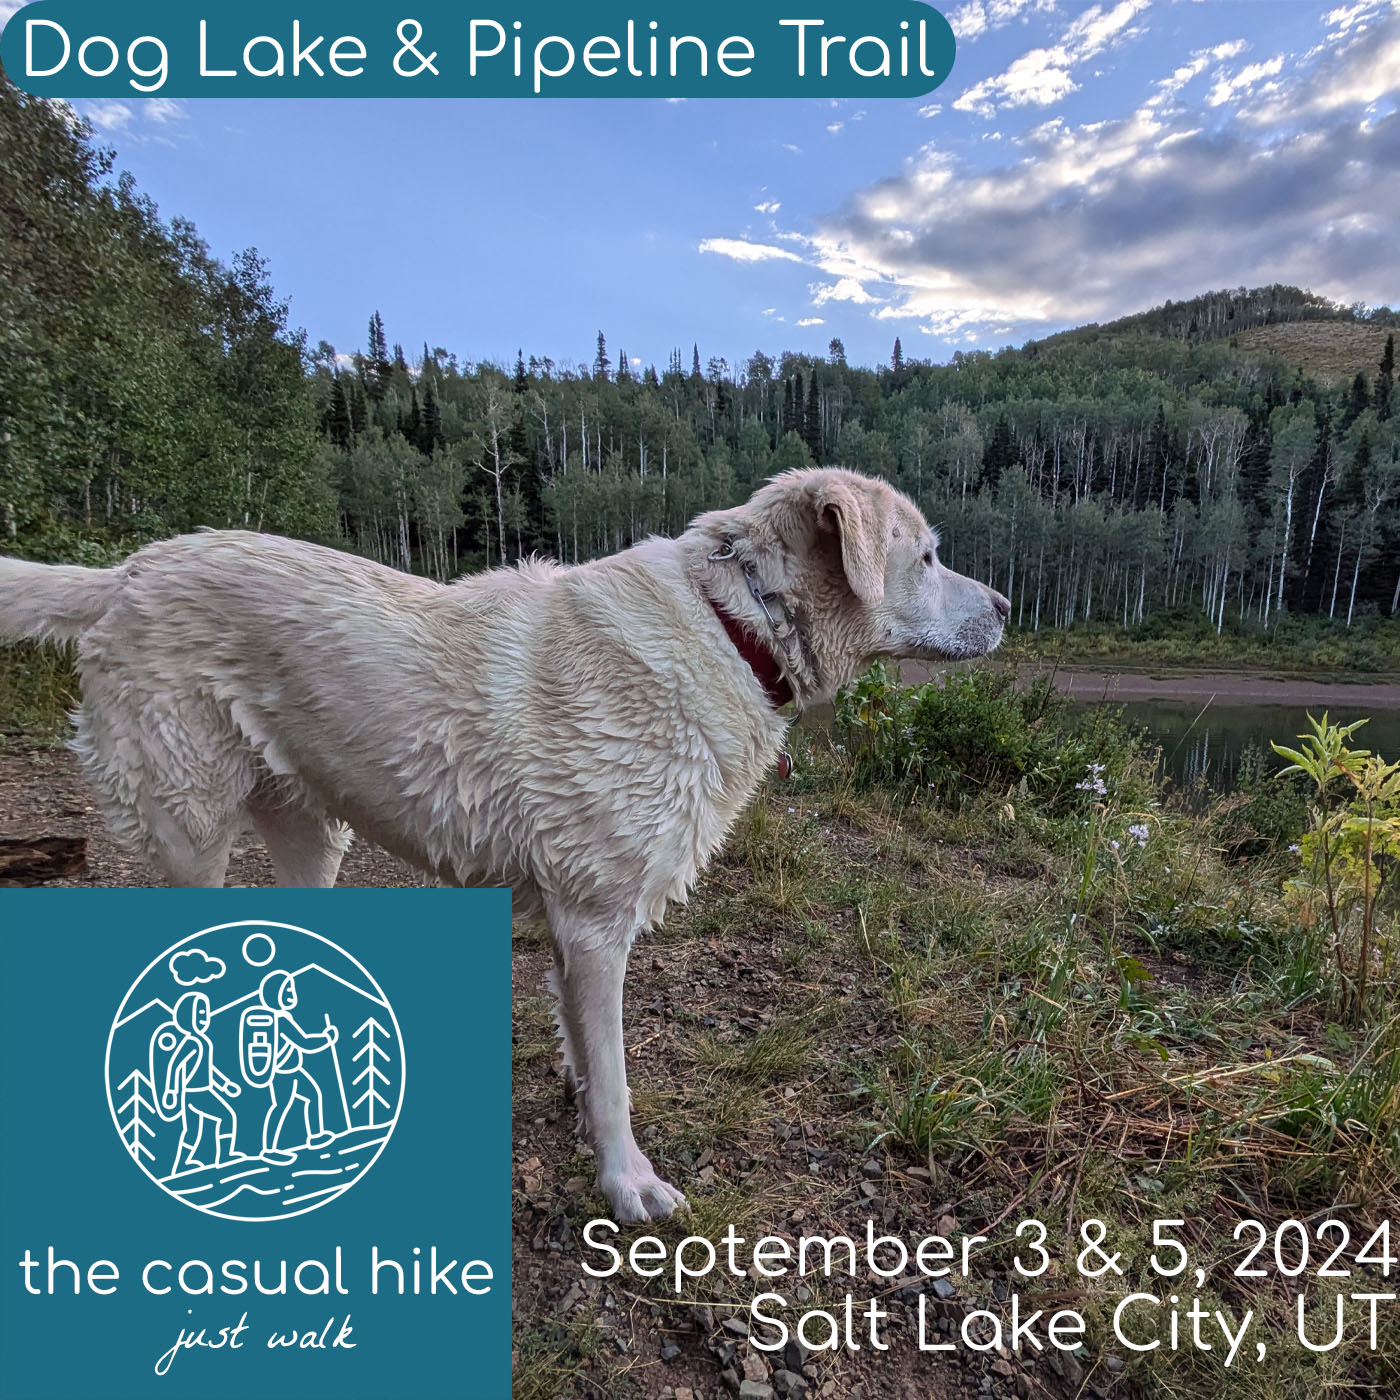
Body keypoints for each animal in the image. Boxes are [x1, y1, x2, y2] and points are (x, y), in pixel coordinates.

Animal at [0, 467, 1008, 1215]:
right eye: (926, 556)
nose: (1004, 605)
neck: (735, 625)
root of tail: (125, 573)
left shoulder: (574, 923)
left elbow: (583, 1054)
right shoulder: (597, 919)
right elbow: (616, 1076)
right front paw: (627, 1183)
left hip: (307, 828)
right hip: (190, 824)